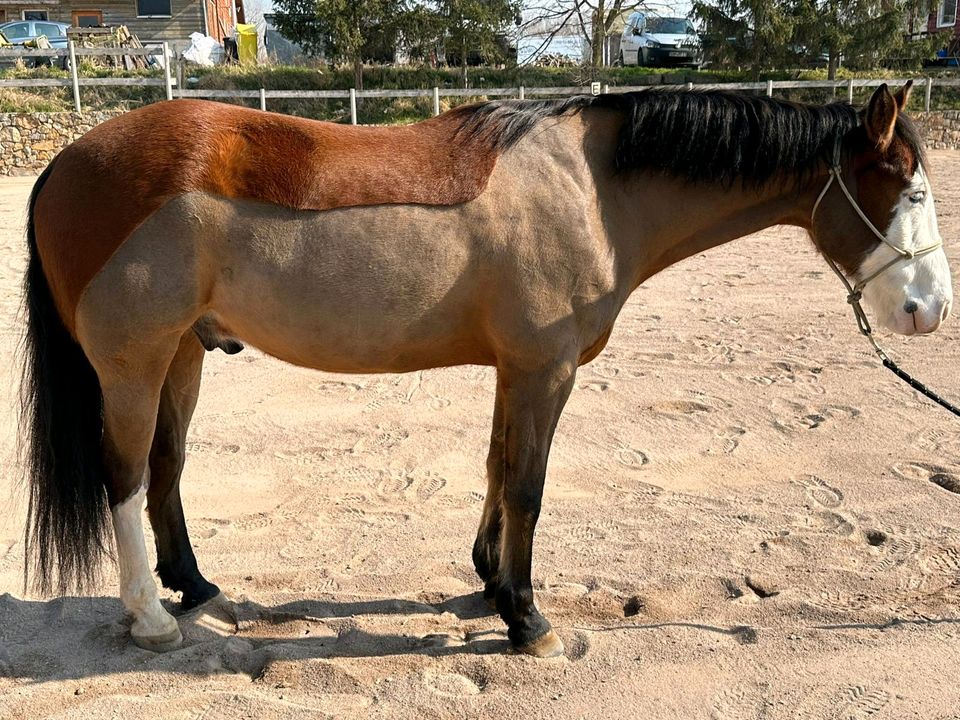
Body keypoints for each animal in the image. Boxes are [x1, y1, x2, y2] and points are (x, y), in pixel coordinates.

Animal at [20, 81, 952, 656]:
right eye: (906, 190)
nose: (929, 310)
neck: (593, 187)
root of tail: (67, 161)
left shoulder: (517, 369)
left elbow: (500, 470)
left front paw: (489, 582)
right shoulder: (545, 369)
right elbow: (529, 486)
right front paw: (527, 619)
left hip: (183, 353)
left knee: (166, 467)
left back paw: (198, 588)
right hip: (135, 362)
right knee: (124, 475)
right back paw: (152, 619)